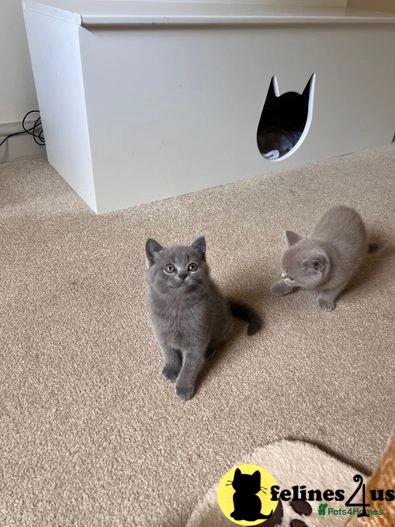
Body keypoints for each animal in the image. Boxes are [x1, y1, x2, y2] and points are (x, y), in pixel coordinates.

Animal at [145, 237, 262, 402]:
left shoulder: (197, 339)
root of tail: (226, 302)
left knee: (217, 339)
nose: (183, 274)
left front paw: (184, 387)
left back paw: (209, 352)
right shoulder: (161, 332)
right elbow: (168, 352)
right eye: (169, 268)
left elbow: (189, 367)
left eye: (192, 266)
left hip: (222, 327)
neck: (177, 306)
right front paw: (171, 369)